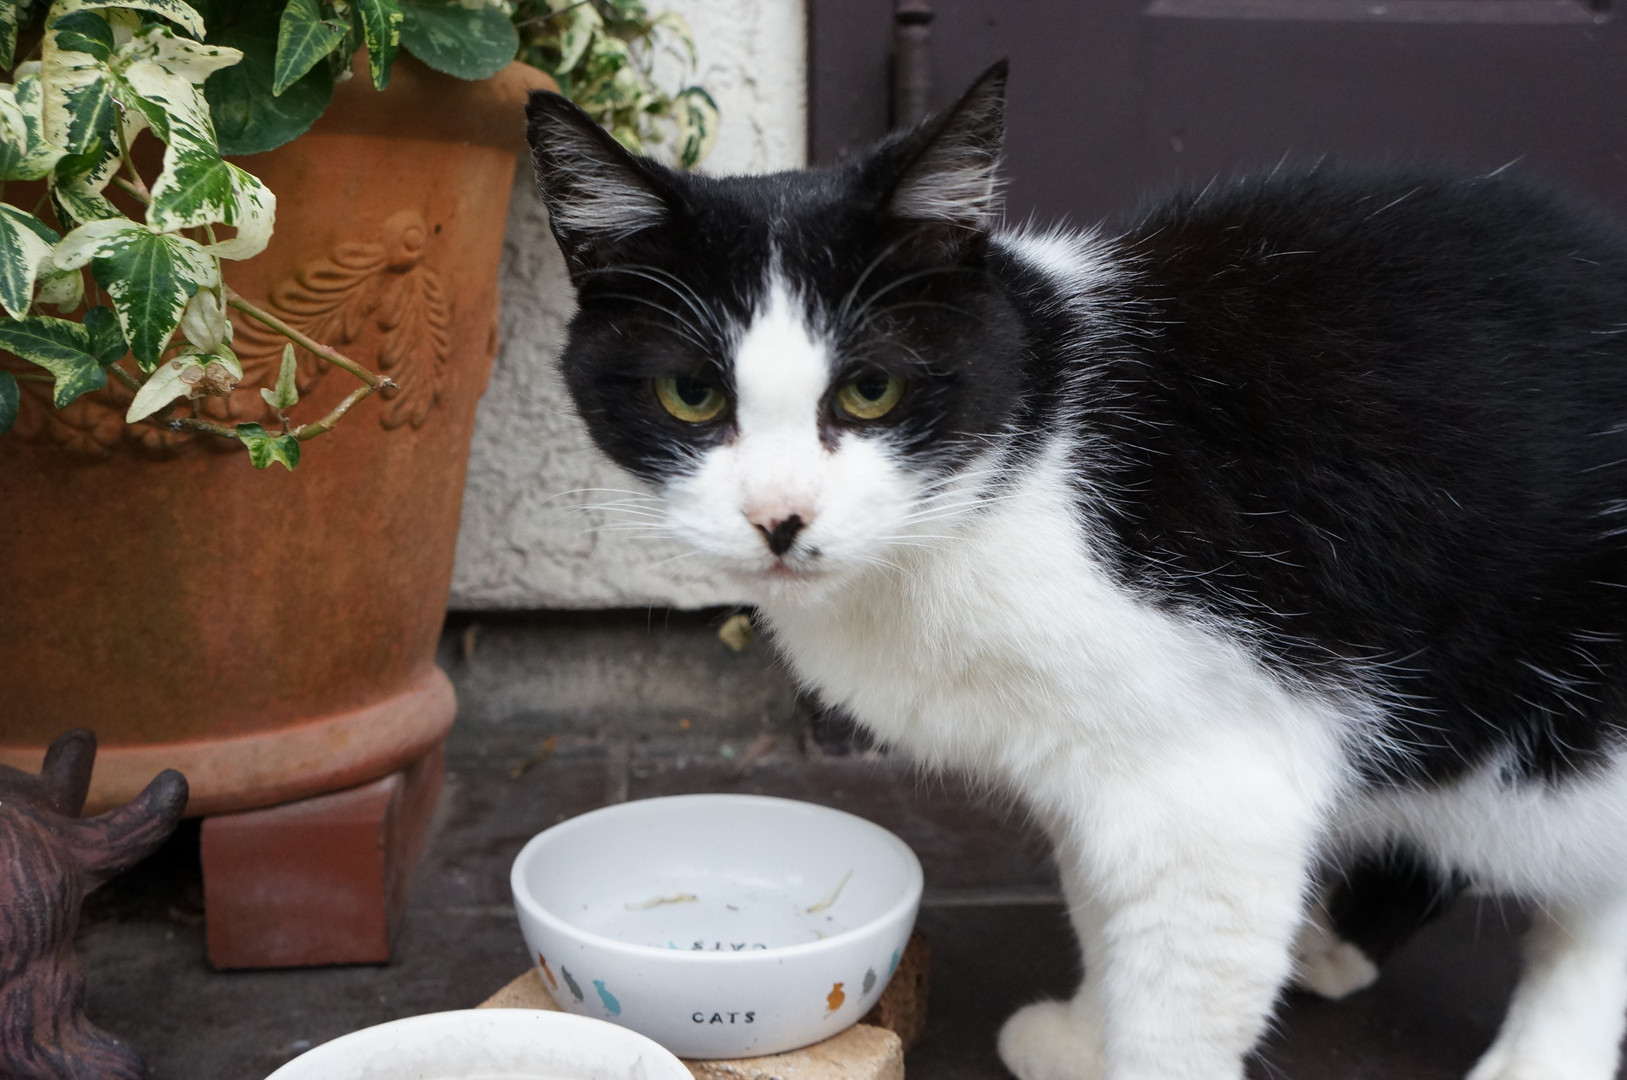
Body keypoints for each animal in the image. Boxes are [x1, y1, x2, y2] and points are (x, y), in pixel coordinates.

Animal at [524, 60, 1627, 1080]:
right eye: (691, 395)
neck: (1023, 460)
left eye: (872, 390)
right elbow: (1102, 910)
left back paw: (1543, 1055)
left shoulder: (1212, 787)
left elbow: (1176, 1002)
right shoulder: (1084, 765)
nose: (777, 518)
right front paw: (1087, 1037)